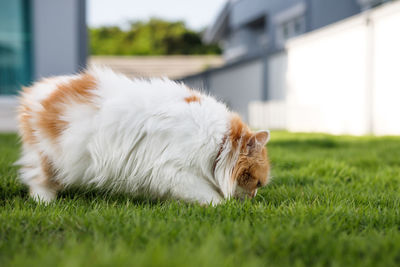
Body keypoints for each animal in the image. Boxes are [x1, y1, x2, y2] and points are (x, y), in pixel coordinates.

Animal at [16, 68, 272, 205]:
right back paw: (46, 203)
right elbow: (210, 196)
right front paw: (223, 206)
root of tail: (33, 91)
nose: (253, 198)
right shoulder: (172, 170)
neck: (219, 140)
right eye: (257, 183)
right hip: (47, 157)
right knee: (38, 181)